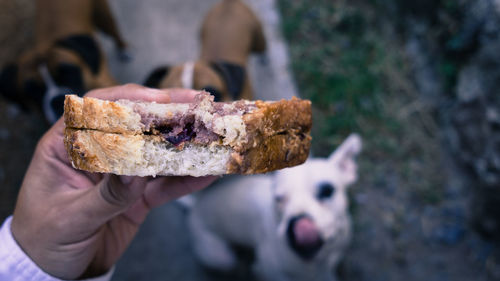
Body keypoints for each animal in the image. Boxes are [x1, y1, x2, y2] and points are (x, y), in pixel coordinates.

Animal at [186, 133, 362, 280]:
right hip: (221, 258)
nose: (296, 226)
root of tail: (196, 206)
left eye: (327, 191)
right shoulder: (269, 271)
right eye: (278, 199)